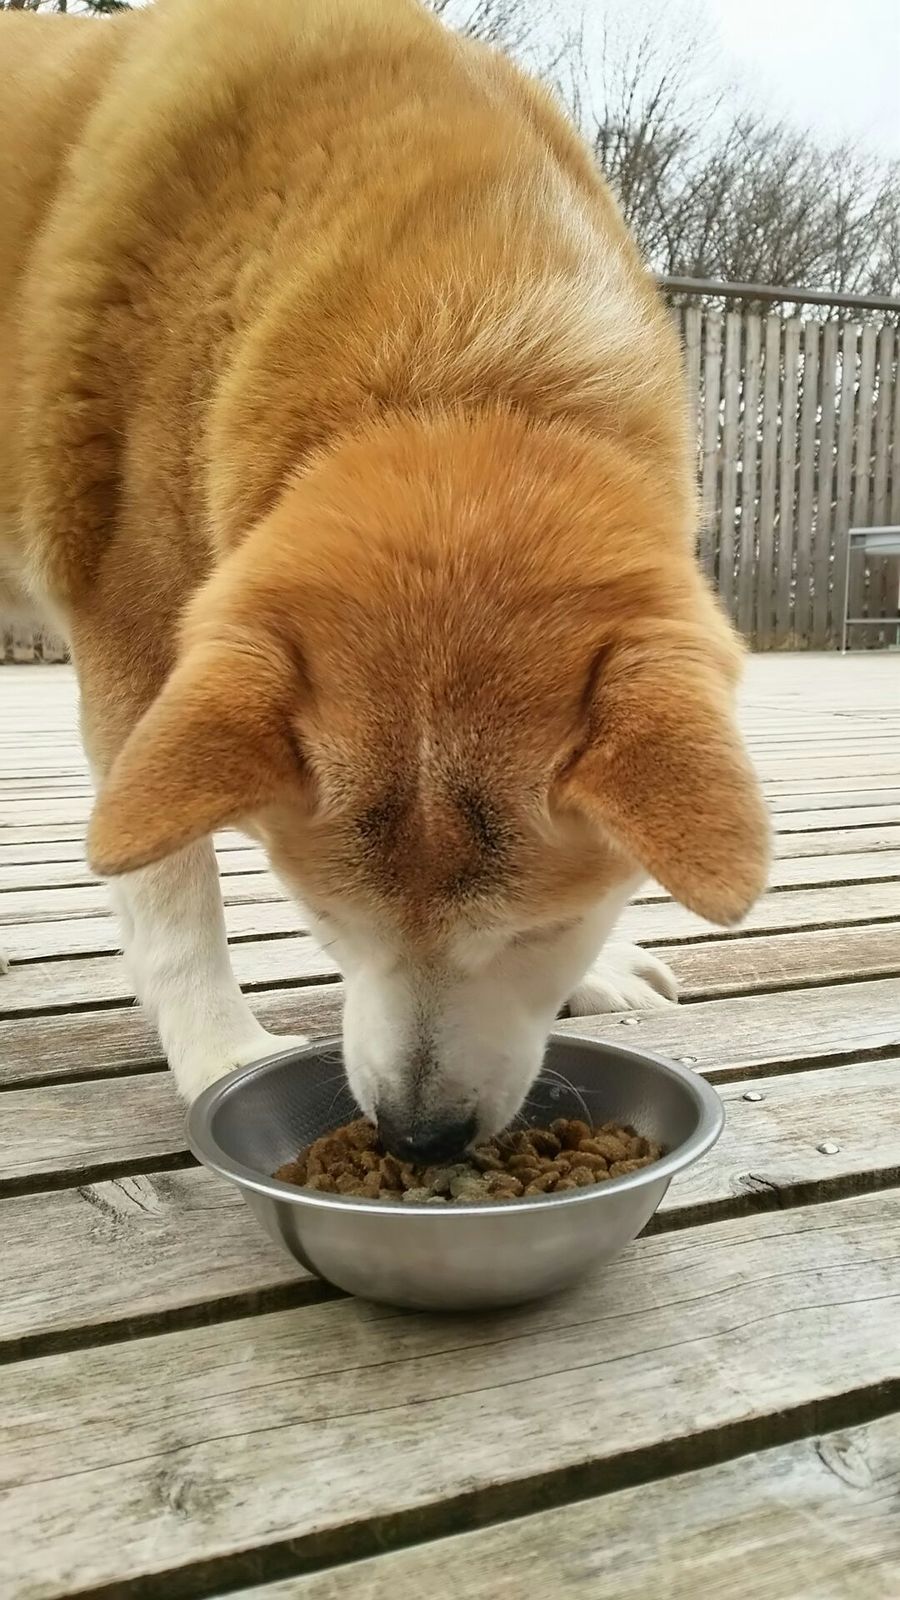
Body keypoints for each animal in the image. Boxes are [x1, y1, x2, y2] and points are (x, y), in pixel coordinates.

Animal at [0, 0, 769, 1163]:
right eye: (326, 916)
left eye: (544, 928)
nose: (420, 1137)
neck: (465, 352)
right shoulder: (134, 635)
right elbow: (170, 894)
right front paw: (220, 1052)